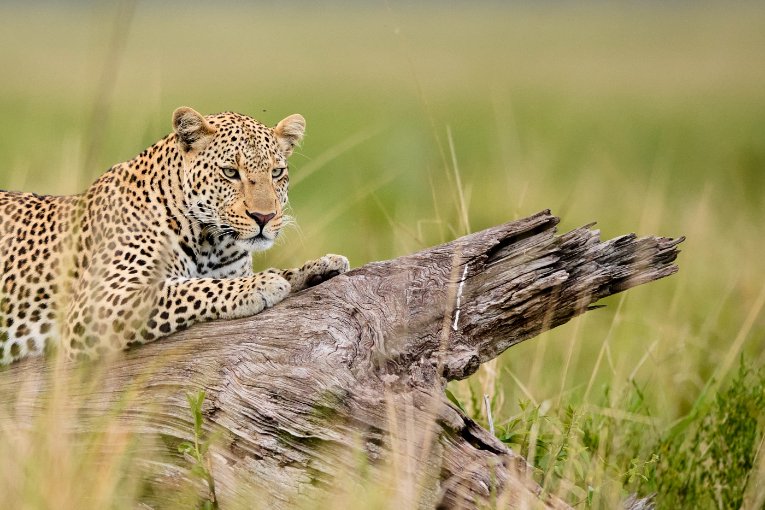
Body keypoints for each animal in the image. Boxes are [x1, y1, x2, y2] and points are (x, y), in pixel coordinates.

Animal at [0, 106, 350, 362]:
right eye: (230, 172)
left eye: (276, 173)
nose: (265, 217)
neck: (213, 242)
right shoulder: (98, 303)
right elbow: (188, 288)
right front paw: (259, 285)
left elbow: (270, 271)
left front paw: (319, 266)